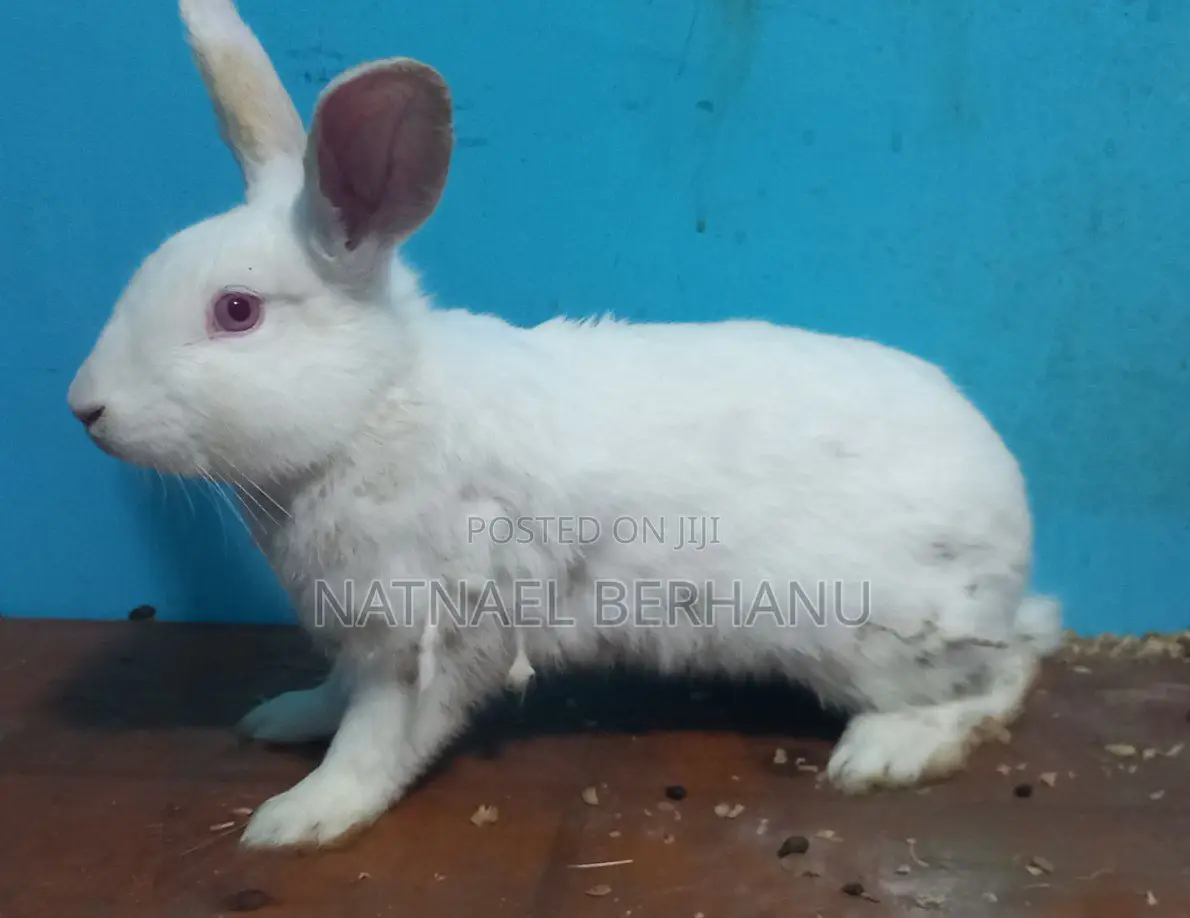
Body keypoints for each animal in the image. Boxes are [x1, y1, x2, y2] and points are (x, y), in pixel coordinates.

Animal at [67, 0, 1062, 850]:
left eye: (236, 311)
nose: (85, 409)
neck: (375, 410)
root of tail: (1016, 526)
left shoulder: (429, 633)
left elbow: (379, 737)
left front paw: (303, 816)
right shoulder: (359, 633)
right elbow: (335, 695)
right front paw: (282, 719)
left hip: (876, 641)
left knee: (1002, 674)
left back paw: (884, 756)